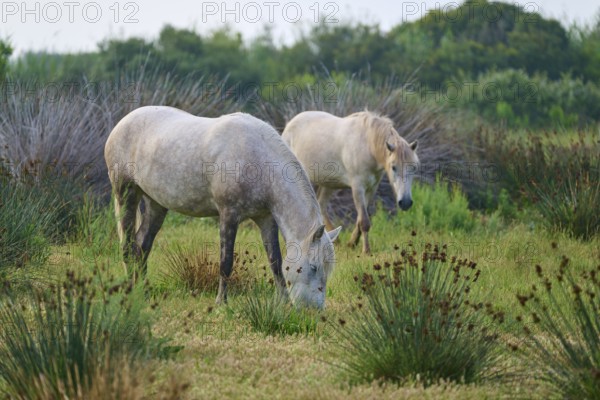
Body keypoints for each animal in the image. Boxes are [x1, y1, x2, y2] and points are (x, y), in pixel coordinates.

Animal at [103, 107, 338, 310]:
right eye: (314, 267)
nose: (314, 310)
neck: (257, 160)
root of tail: (120, 125)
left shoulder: (265, 219)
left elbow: (276, 261)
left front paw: (283, 303)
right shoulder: (228, 215)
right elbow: (226, 263)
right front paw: (220, 303)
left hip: (156, 204)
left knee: (141, 246)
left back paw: (143, 291)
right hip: (126, 194)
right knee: (127, 247)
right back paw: (131, 290)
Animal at [282, 110, 418, 253]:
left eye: (414, 167)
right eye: (393, 167)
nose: (406, 202)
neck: (367, 145)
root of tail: (289, 125)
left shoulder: (371, 188)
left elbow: (360, 219)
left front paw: (352, 243)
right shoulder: (358, 187)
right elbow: (364, 221)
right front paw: (366, 250)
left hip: (328, 185)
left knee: (321, 205)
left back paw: (336, 241)